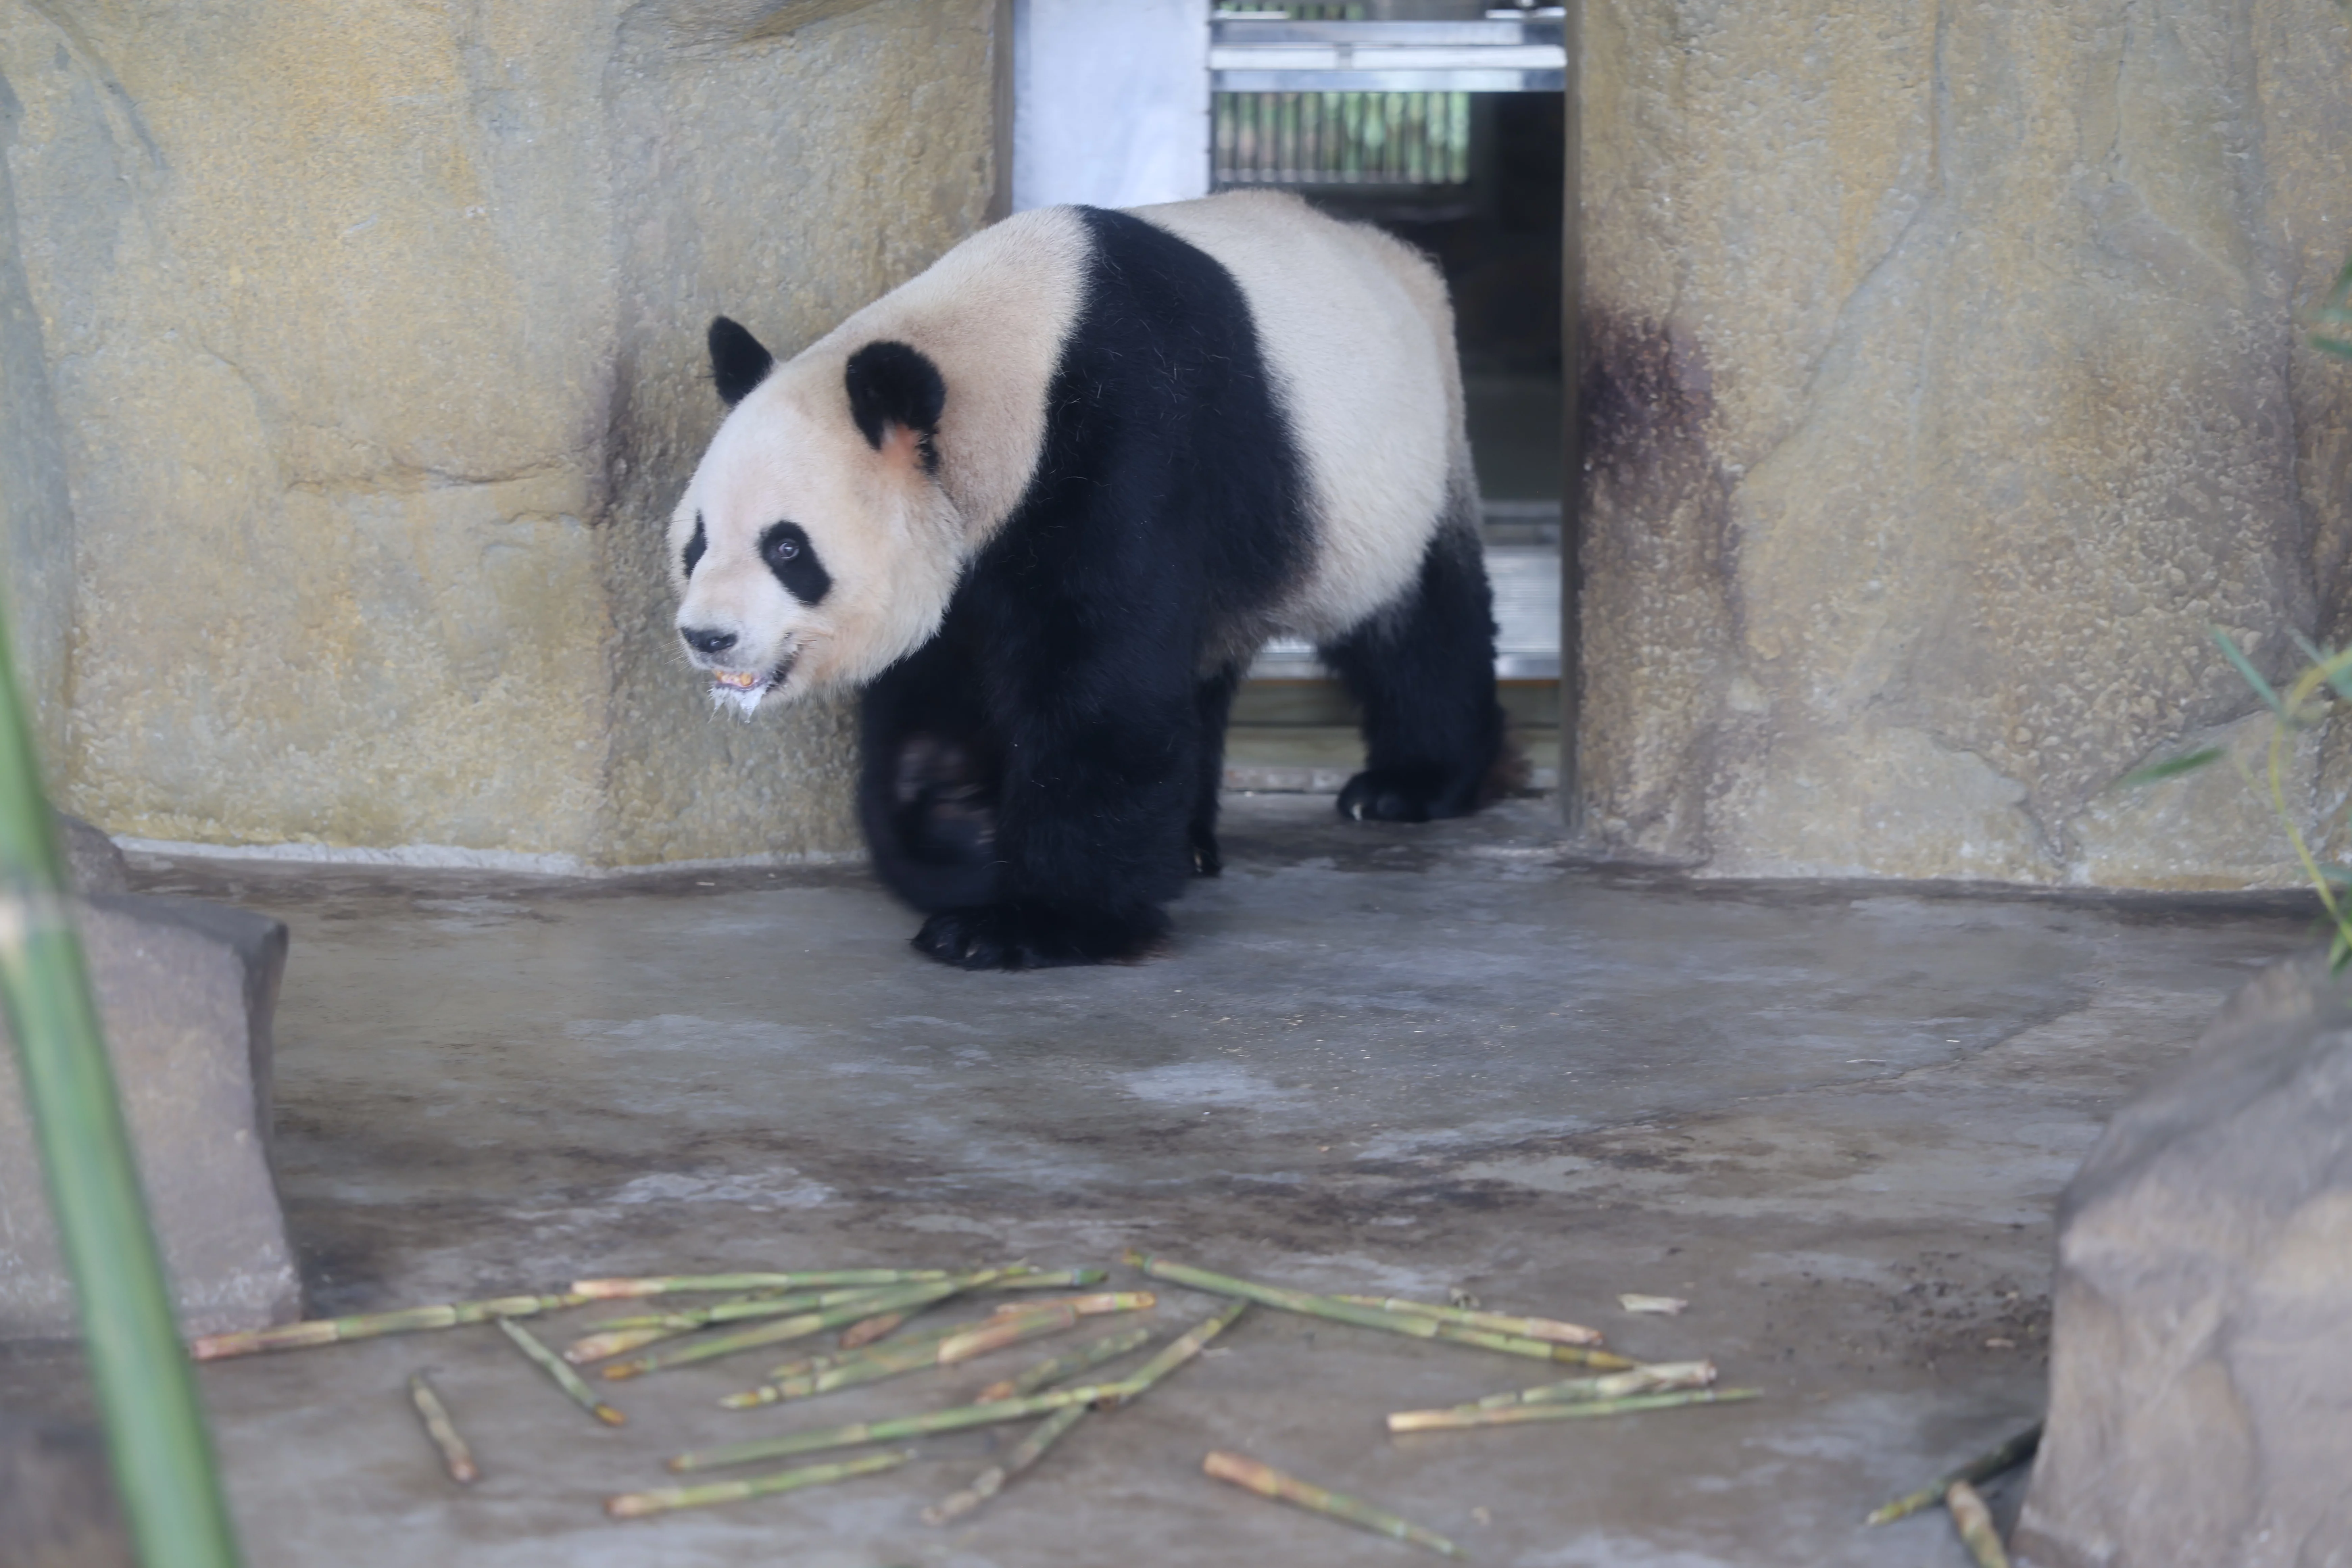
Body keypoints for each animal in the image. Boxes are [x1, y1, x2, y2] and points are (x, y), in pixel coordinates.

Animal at [668, 189, 1512, 970]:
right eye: (697, 542)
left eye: (787, 549)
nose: (708, 637)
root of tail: (1393, 252)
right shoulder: (974, 550)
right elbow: (937, 696)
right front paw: (963, 827)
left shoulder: (1122, 448)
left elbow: (1102, 689)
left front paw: (1030, 922)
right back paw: (1193, 844)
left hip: (1400, 471)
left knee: (1417, 624)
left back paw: (1409, 784)